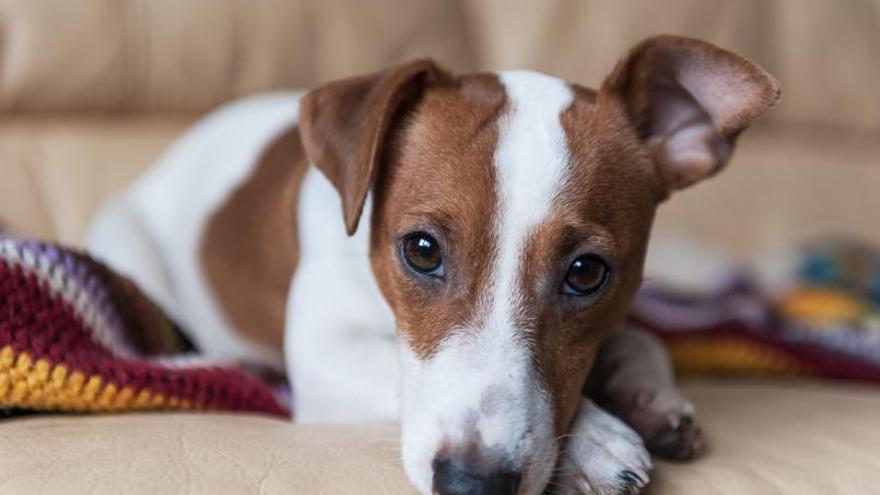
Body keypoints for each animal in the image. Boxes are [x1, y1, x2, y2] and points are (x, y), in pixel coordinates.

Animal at [87, 35, 776, 495]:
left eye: (587, 272)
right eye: (421, 250)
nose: (474, 484)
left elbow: (639, 338)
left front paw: (650, 396)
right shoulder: (328, 356)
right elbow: (402, 375)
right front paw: (594, 440)